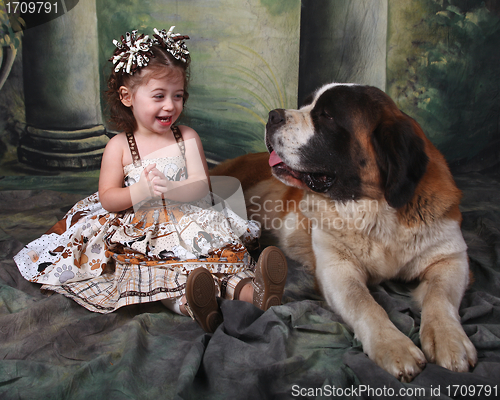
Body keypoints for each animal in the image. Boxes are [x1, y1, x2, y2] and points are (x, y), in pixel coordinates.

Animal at [211, 82, 476, 382]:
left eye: (326, 116)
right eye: (306, 105)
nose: (273, 115)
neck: (373, 207)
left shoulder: (451, 257)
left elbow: (440, 297)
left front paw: (449, 341)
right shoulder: (337, 267)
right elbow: (364, 303)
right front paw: (394, 346)